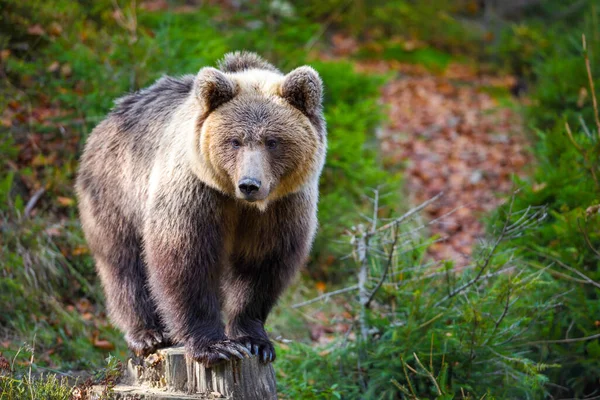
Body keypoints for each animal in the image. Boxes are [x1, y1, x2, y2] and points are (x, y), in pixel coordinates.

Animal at [77, 50, 326, 366]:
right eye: (234, 141)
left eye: (272, 141)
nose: (250, 184)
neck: (240, 204)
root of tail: (110, 115)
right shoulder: (197, 193)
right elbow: (187, 260)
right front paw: (215, 346)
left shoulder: (282, 208)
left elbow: (261, 266)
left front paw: (255, 341)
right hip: (114, 191)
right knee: (123, 263)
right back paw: (148, 334)